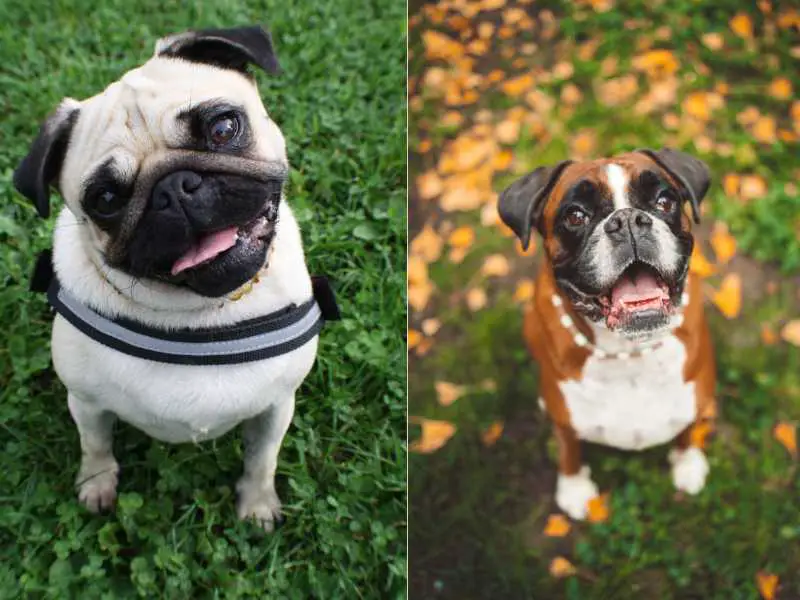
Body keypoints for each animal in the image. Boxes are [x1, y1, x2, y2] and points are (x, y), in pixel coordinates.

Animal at [496, 150, 716, 520]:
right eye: (575, 216)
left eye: (664, 201)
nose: (627, 220)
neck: (629, 352)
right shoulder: (566, 423)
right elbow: (569, 450)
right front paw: (573, 487)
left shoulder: (693, 400)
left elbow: (686, 431)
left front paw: (687, 464)